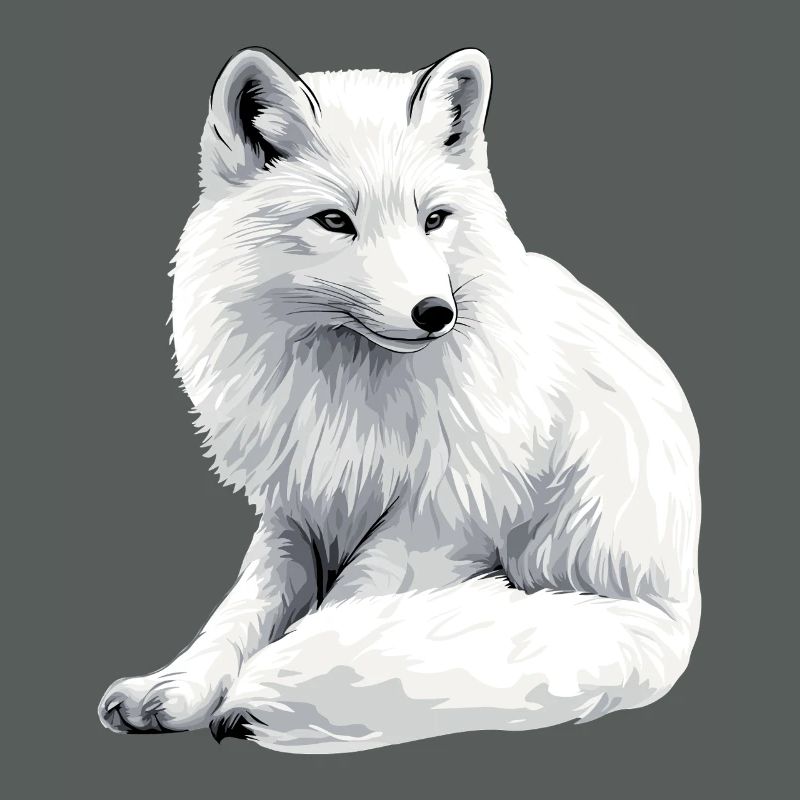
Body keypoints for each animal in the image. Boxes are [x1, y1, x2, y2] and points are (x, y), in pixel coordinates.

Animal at [98, 46, 701, 754]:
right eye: (335, 220)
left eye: (433, 219)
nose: (436, 312)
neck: (348, 393)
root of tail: (674, 612)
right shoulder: (295, 509)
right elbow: (242, 609)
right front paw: (178, 688)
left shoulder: (440, 518)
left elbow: (347, 612)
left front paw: (275, 681)